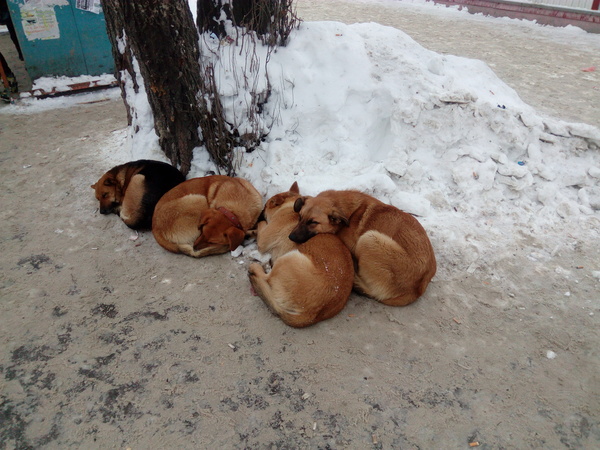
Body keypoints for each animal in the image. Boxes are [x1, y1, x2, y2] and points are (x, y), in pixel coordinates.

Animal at [247, 182, 354, 326]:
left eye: (265, 206)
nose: (258, 215)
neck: (289, 207)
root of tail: (311, 315)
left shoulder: (264, 239)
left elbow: (262, 224)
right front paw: (251, 232)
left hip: (288, 258)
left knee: (266, 278)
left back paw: (256, 268)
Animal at [290, 190, 436, 306]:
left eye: (313, 222)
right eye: (300, 217)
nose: (290, 237)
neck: (350, 213)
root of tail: (418, 289)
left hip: (369, 238)